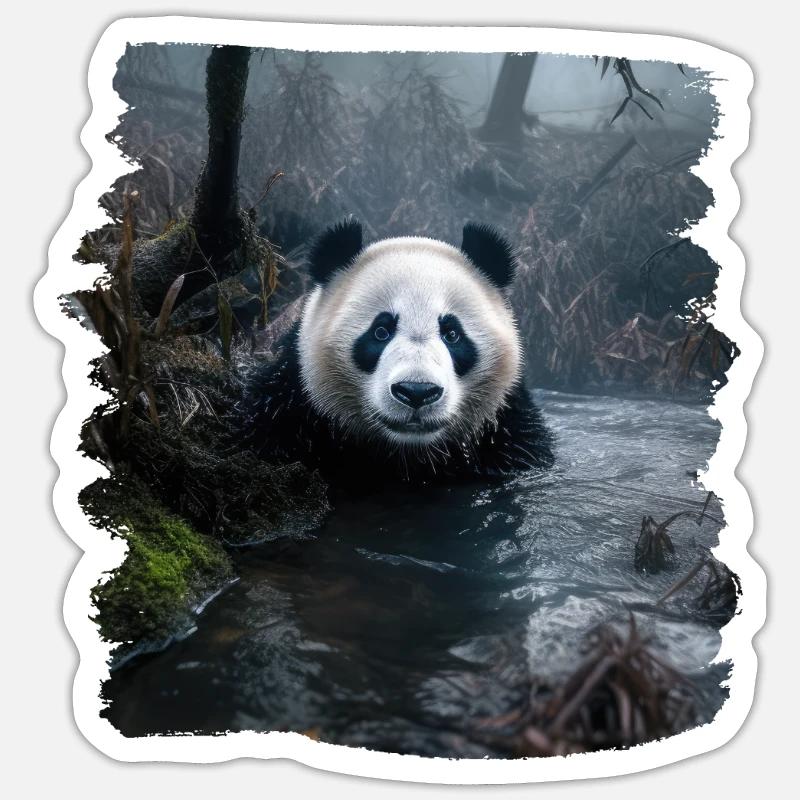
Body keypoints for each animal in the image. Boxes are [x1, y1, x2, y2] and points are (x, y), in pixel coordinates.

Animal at [242, 219, 553, 488]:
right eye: (381, 331)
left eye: (452, 334)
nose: (417, 391)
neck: (406, 456)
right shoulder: (290, 406)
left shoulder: (508, 432)